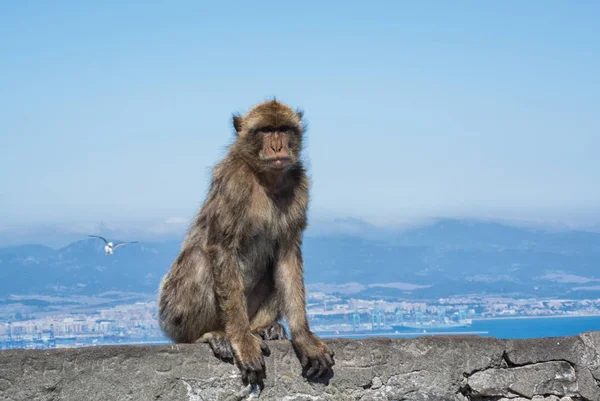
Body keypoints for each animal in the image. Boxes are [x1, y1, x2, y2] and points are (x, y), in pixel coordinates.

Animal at [157, 98, 336, 386]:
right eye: (265, 131)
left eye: (283, 129)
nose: (277, 146)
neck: (266, 177)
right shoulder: (234, 181)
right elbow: (222, 249)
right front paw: (242, 341)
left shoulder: (299, 186)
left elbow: (287, 256)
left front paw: (304, 337)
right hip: (171, 315)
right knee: (198, 259)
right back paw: (212, 335)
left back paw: (263, 328)